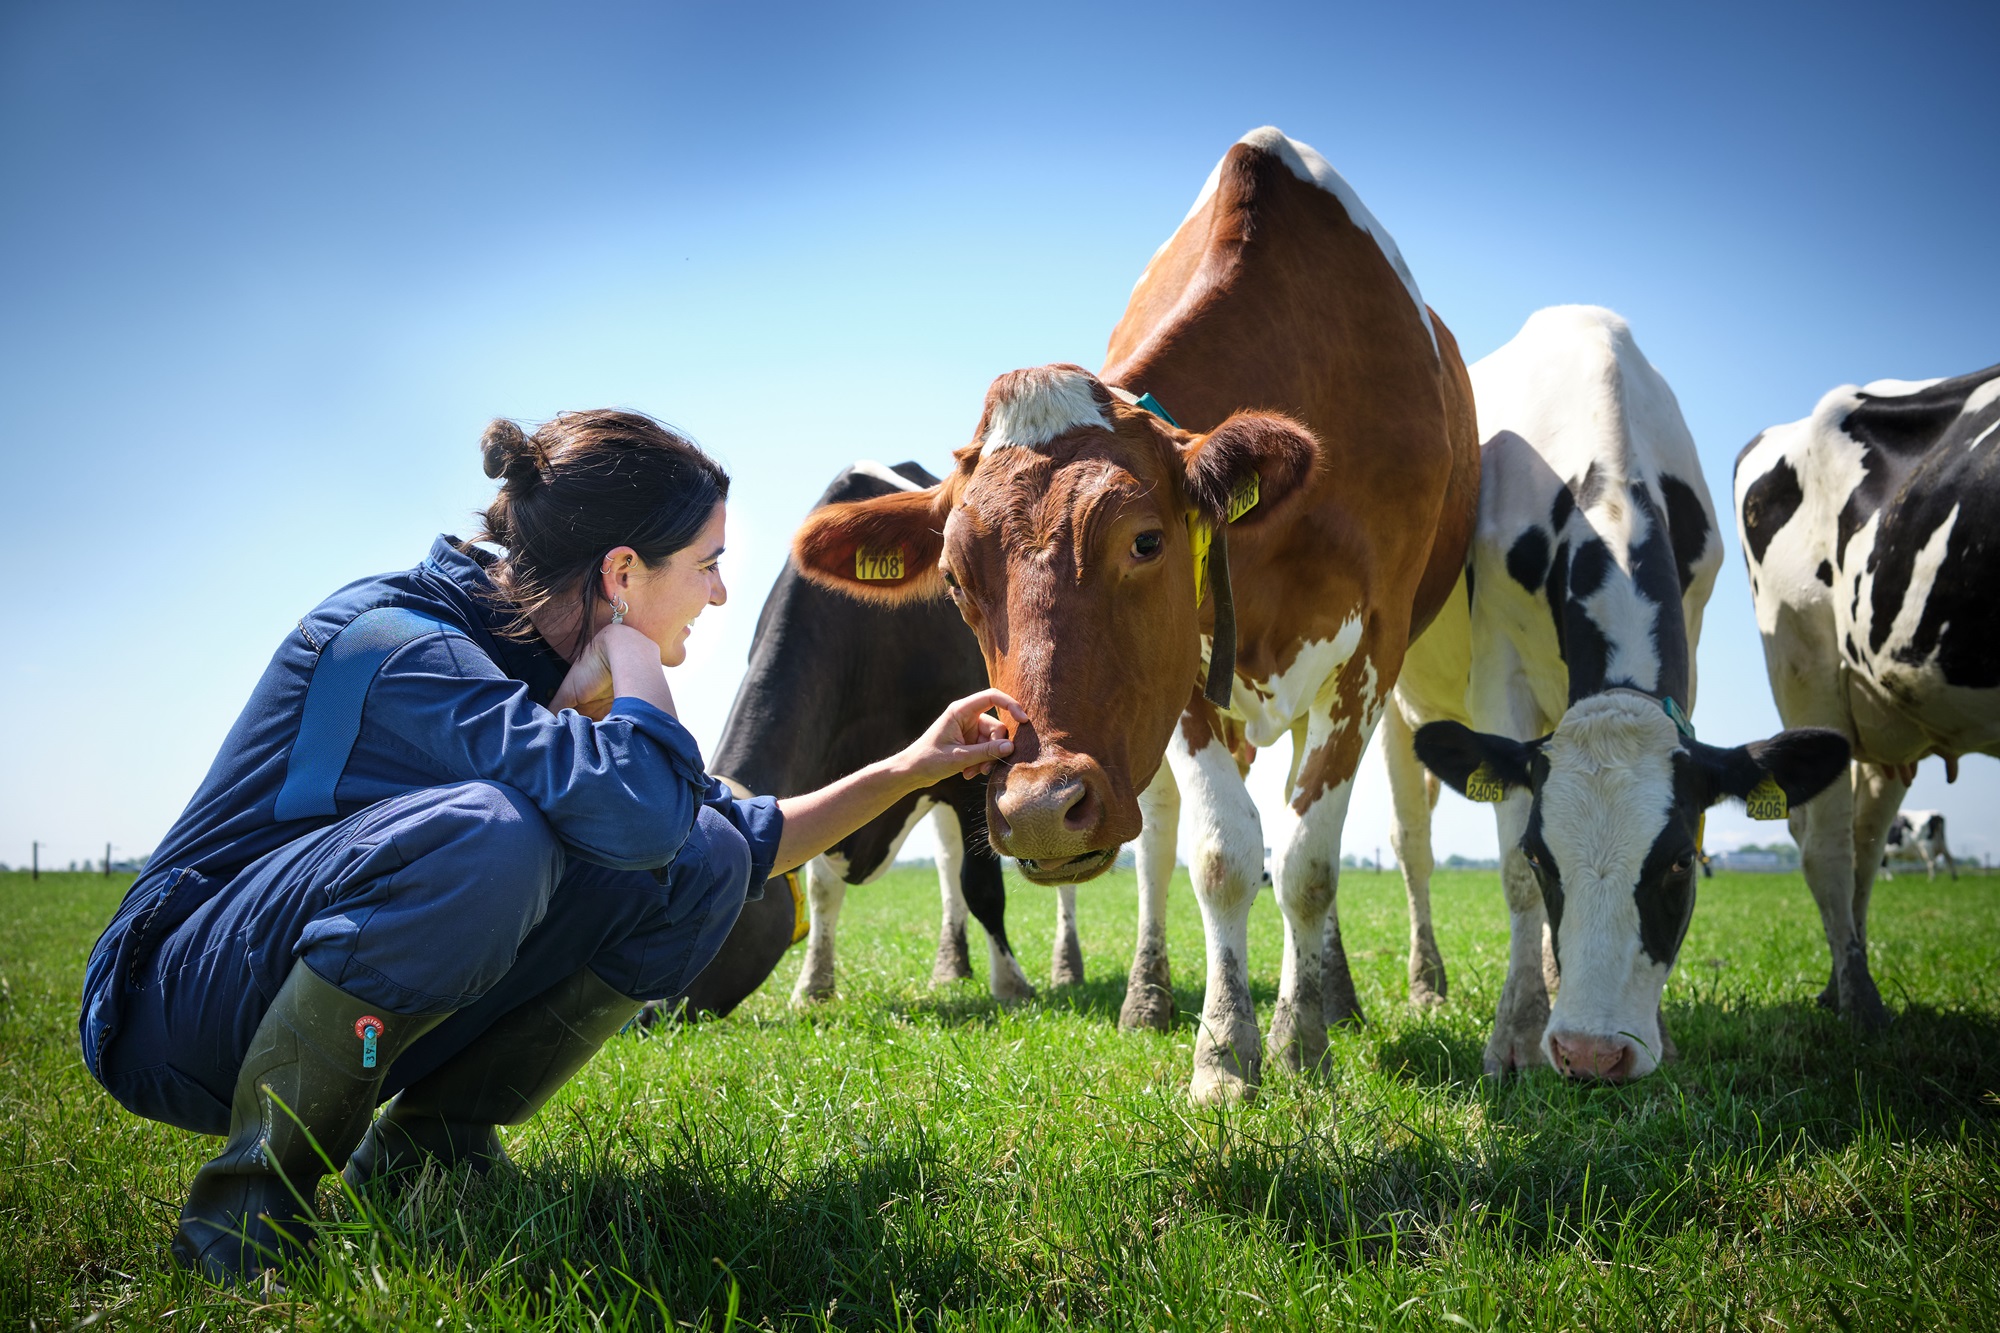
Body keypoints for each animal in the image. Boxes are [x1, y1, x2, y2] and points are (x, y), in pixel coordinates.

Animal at [709, 460, 1039, 1007]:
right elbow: (823, 888)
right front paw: (813, 987)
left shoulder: (984, 762)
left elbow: (984, 884)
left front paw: (1011, 984)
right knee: (947, 858)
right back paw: (950, 967)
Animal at [791, 127, 1482, 1102]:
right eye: (955, 580)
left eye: (1147, 541)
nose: (1040, 807)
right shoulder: (1184, 678)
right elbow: (1222, 855)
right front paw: (1224, 1050)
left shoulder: (1372, 652)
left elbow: (1308, 862)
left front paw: (1300, 1036)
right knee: (1161, 843)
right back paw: (1151, 997)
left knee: (1362, 835)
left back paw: (1342, 993)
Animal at [1397, 305, 1846, 1080]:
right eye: (1543, 858)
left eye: (1677, 862)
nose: (1590, 1053)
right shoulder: (1498, 679)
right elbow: (1510, 876)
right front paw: (1517, 1031)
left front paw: (1655, 1026)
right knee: (1413, 844)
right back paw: (1430, 984)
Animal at [1736, 363, 2000, 1025]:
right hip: (1807, 668)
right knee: (1826, 846)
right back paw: (1860, 1005)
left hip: (1883, 722)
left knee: (1863, 841)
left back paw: (1841, 986)